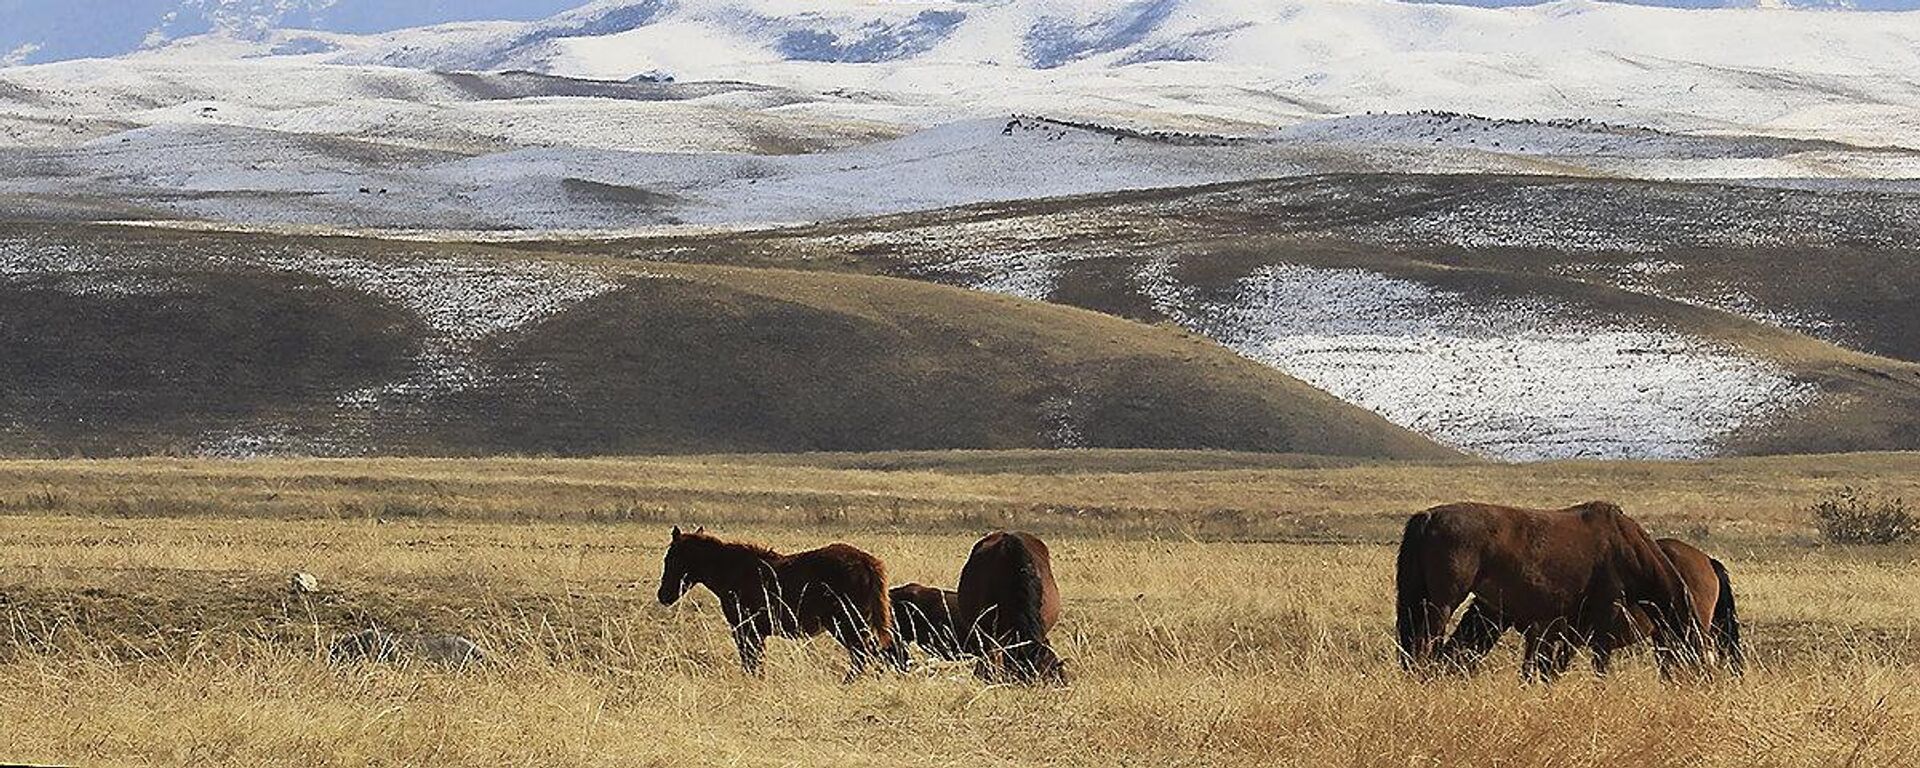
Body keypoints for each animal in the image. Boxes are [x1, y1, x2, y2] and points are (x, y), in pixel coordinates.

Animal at [660, 529, 898, 679]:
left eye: (671, 559)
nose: (663, 596)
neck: (733, 570)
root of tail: (868, 562)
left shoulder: (746, 630)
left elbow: (751, 661)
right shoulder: (754, 632)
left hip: (847, 624)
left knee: (863, 653)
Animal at [1397, 503, 1712, 679]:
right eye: (1697, 659)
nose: (1699, 685)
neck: (1627, 546)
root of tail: (1428, 517)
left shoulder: (1565, 627)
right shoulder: (1603, 616)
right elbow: (1599, 665)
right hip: (1442, 604)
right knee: (1425, 645)